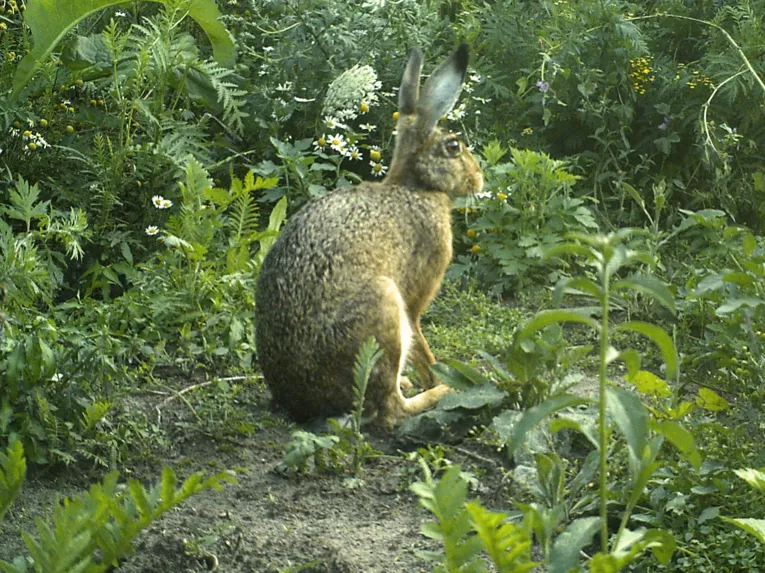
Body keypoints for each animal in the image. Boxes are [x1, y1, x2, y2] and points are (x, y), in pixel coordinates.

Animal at [255, 44, 484, 428]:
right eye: (453, 147)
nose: (478, 179)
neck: (415, 187)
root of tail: (308, 403)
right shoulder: (415, 295)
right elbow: (421, 340)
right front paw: (440, 377)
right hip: (383, 310)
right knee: (391, 410)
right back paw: (439, 394)